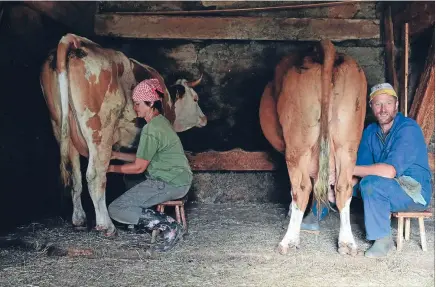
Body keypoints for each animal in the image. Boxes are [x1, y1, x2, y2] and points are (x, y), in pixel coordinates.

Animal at [39, 33, 206, 236]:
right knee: (95, 175)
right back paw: (106, 225)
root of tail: (74, 40)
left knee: (75, 176)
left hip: (59, 126)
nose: (204, 119)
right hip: (99, 130)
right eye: (195, 99)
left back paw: (79, 219)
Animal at [260, 39, 366, 255]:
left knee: (301, 187)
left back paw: (289, 241)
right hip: (347, 144)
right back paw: (347, 243)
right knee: (343, 186)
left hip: (297, 144)